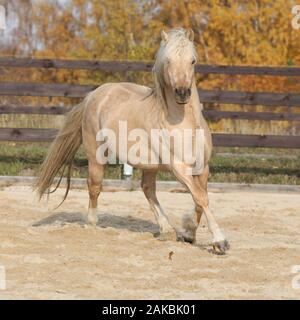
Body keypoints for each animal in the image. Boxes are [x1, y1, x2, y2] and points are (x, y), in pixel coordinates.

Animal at [37, 28, 230, 252]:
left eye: (192, 61)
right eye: (168, 61)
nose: (182, 93)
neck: (185, 123)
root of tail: (94, 95)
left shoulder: (202, 167)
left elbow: (201, 198)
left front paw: (189, 233)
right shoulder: (179, 168)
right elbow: (200, 197)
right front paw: (220, 241)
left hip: (150, 165)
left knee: (148, 190)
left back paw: (166, 230)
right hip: (96, 156)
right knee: (95, 186)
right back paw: (92, 224)